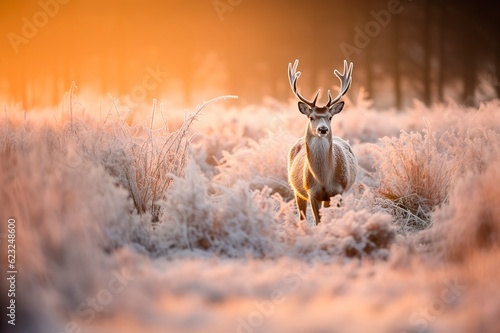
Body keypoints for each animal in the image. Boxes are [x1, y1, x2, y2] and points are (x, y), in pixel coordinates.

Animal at [288, 59, 358, 226]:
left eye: (330, 117)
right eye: (311, 117)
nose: (323, 129)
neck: (324, 179)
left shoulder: (339, 191)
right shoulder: (312, 192)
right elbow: (318, 221)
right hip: (297, 191)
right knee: (302, 216)